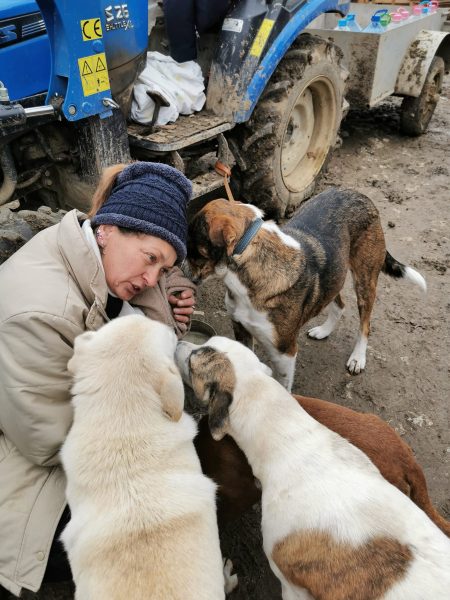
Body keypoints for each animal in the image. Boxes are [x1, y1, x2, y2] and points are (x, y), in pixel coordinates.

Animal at [185, 190, 426, 392]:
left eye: (191, 245)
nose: (179, 266)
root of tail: (361, 195)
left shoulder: (285, 351)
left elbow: (283, 384)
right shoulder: (240, 329)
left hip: (365, 280)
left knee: (365, 323)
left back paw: (358, 358)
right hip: (335, 274)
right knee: (339, 304)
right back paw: (324, 331)